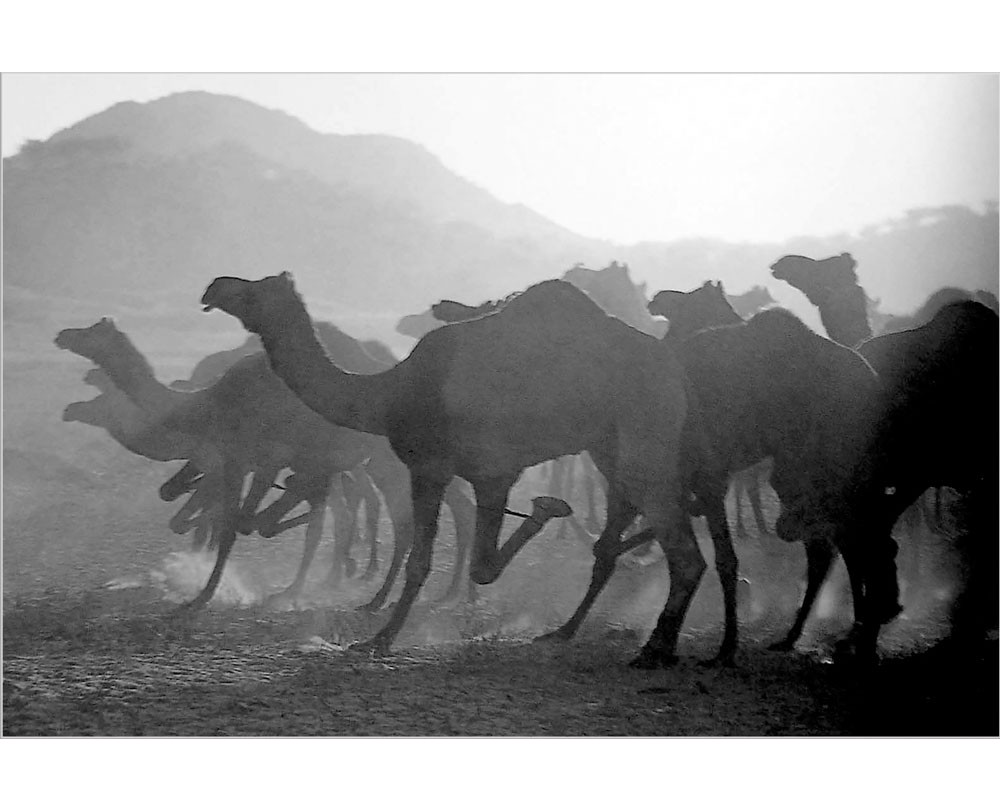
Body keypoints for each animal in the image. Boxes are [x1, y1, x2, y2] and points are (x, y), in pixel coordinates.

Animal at [201, 272, 698, 666]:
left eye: (255, 291)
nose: (215, 286)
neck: (389, 392)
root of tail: (672, 366)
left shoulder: (435, 466)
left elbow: (425, 561)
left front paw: (379, 639)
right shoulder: (494, 472)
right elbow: (482, 565)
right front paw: (547, 508)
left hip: (644, 431)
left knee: (683, 549)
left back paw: (654, 649)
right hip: (609, 445)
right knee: (625, 533)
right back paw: (569, 632)